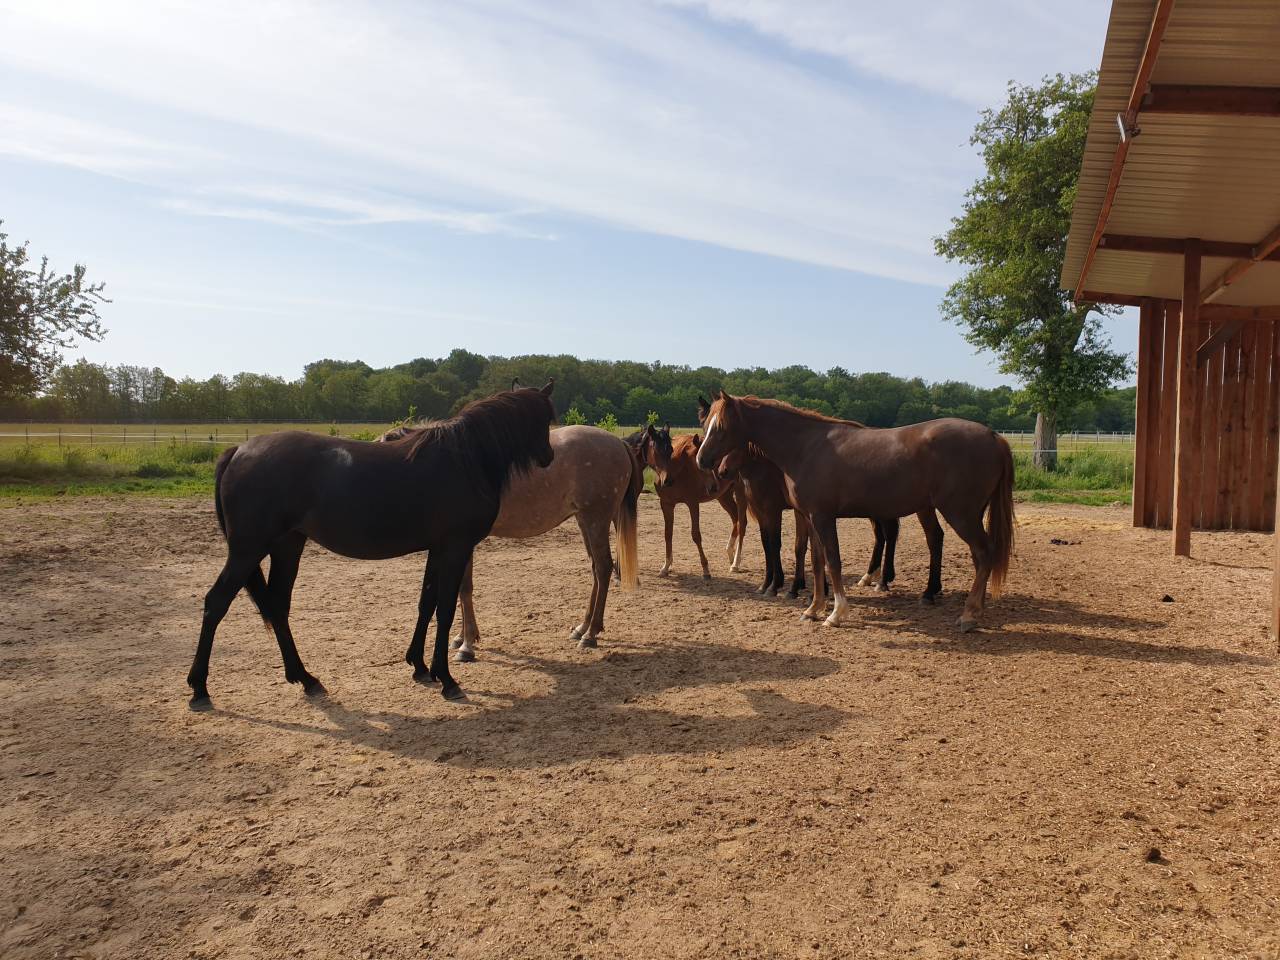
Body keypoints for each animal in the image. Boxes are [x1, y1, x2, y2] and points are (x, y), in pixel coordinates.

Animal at [186, 382, 557, 708]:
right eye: (546, 418)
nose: (549, 456)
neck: (465, 459)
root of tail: (238, 451)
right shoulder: (455, 548)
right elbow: (446, 610)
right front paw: (447, 678)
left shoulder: (437, 550)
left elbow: (426, 603)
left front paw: (419, 667)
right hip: (248, 550)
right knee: (216, 604)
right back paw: (199, 689)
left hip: (286, 546)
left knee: (277, 606)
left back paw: (305, 679)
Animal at [381, 423, 643, 658]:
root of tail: (618, 443)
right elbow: (463, 588)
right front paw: (463, 637)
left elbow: (464, 589)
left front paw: (467, 645)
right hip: (584, 520)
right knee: (596, 570)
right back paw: (583, 627)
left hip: (596, 518)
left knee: (604, 568)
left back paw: (590, 634)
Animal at [641, 424, 749, 579]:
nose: (713, 486)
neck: (676, 473)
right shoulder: (666, 504)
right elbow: (668, 534)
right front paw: (666, 567)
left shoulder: (693, 503)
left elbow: (696, 535)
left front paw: (706, 569)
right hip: (724, 496)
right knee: (736, 519)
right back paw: (730, 553)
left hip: (739, 493)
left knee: (742, 522)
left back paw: (736, 563)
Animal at [696, 393, 1013, 631]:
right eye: (706, 423)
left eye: (720, 426)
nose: (703, 461)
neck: (806, 447)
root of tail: (995, 437)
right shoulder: (809, 517)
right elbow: (816, 560)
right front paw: (814, 608)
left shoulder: (822, 517)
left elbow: (833, 561)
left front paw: (836, 613)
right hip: (966, 513)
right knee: (977, 556)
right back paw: (970, 607)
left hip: (960, 514)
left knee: (983, 552)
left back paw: (968, 614)